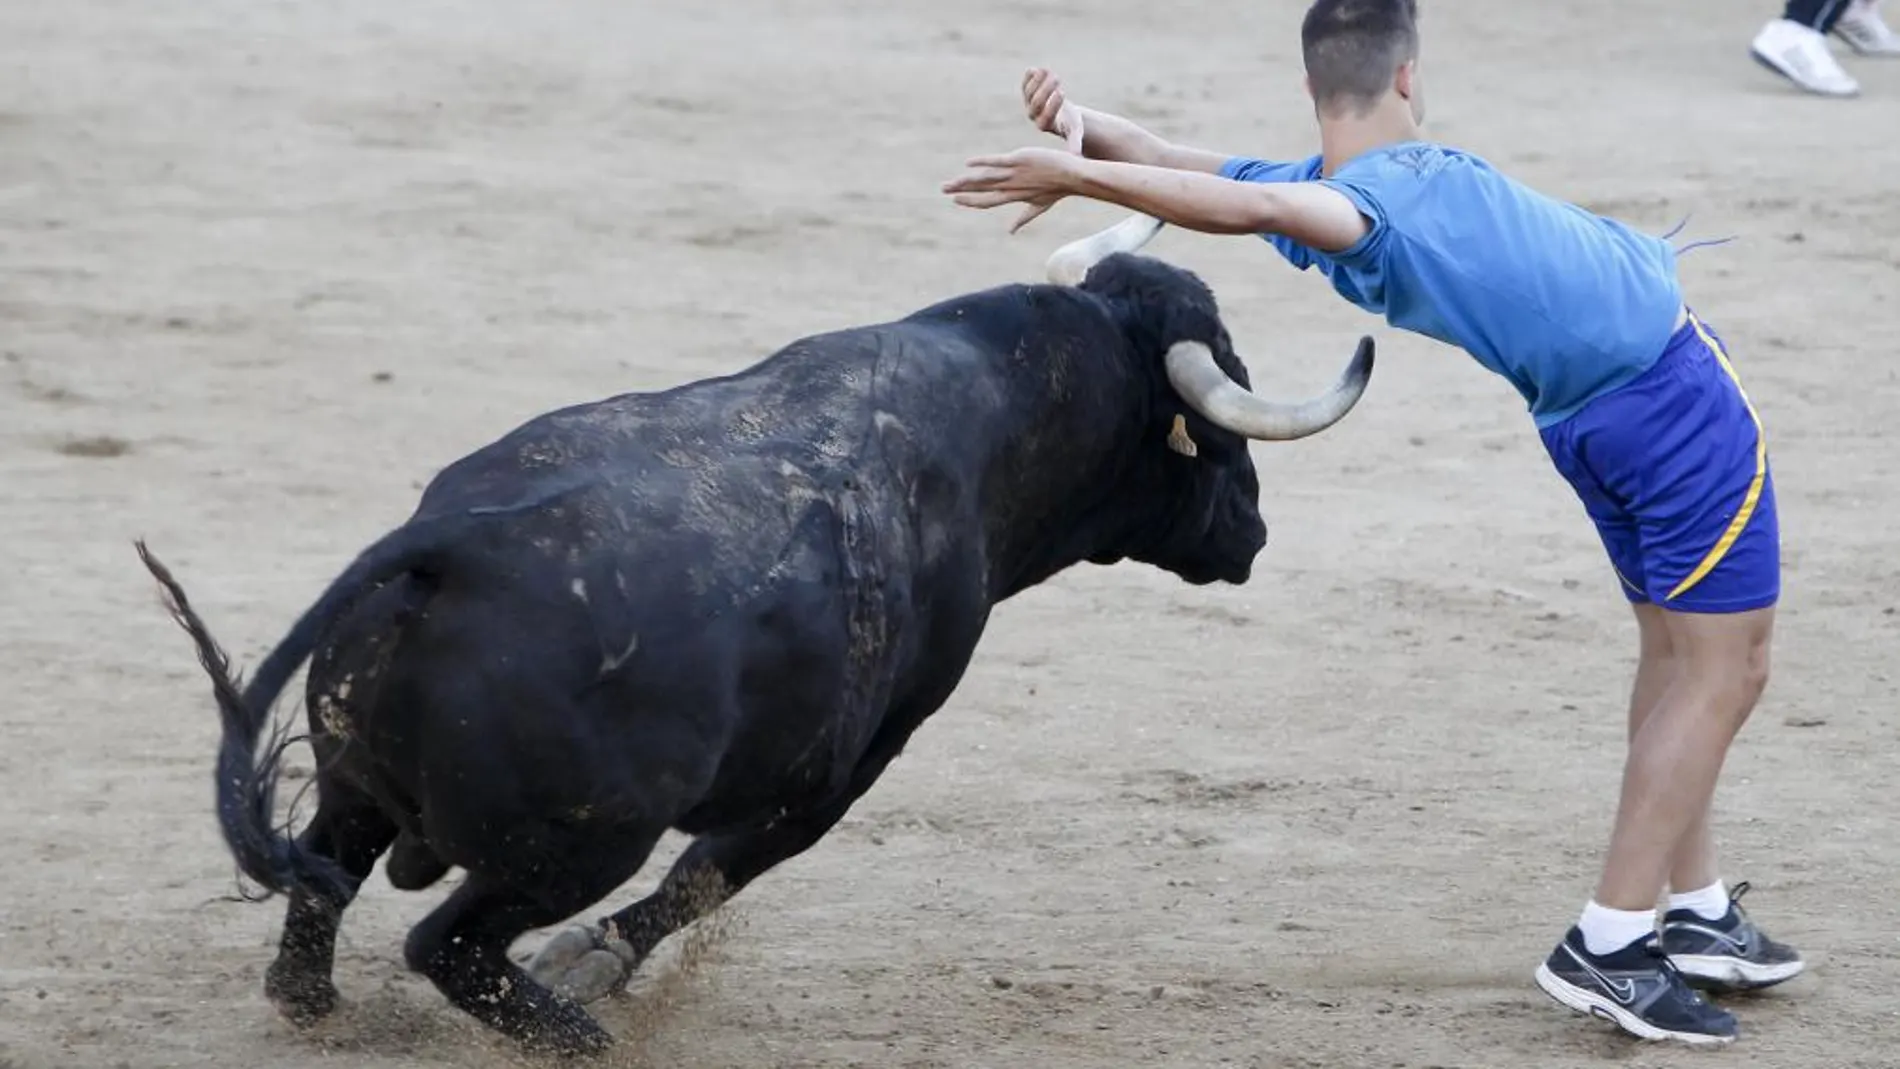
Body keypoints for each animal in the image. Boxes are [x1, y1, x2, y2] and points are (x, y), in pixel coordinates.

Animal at [140, 213, 1375, 1055]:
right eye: (1226, 412)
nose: (1254, 530)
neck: (994, 415)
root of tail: (456, 549)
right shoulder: (848, 762)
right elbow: (717, 871)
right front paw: (594, 965)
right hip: (581, 841)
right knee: (446, 941)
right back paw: (577, 1034)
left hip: (354, 780)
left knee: (324, 887)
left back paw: (320, 1001)